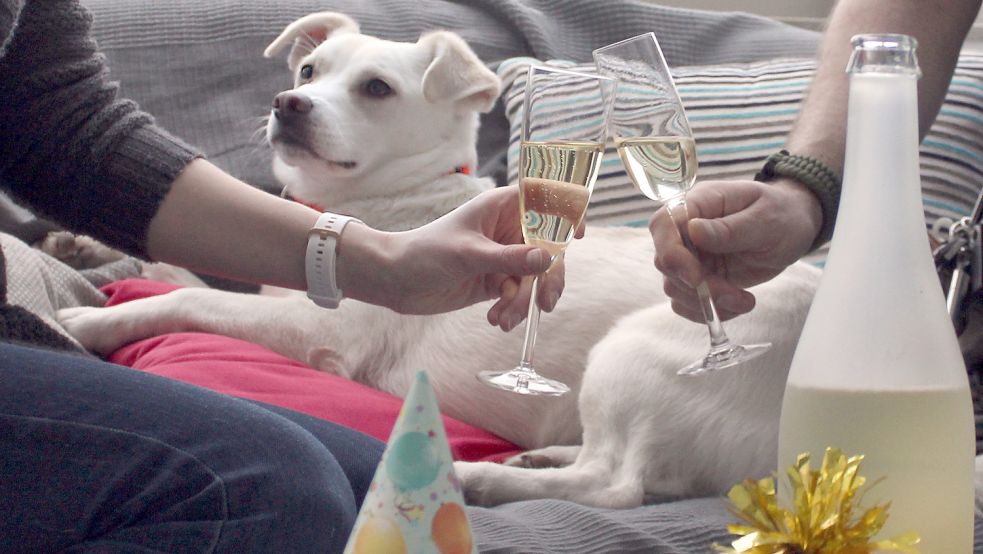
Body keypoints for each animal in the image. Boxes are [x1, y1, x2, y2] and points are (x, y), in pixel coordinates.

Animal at [57, 10, 828, 506]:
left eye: (375, 88)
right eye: (308, 69)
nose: (288, 101)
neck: (381, 205)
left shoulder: (323, 331)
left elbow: (191, 296)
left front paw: (90, 322)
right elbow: (185, 273)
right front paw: (89, 248)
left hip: (632, 352)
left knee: (615, 486)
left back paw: (482, 479)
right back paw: (541, 454)